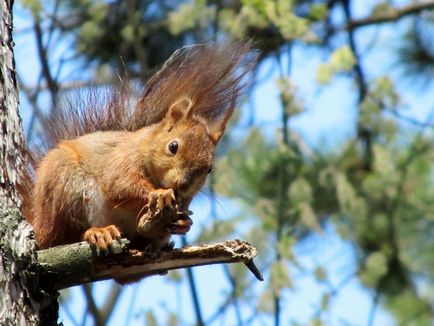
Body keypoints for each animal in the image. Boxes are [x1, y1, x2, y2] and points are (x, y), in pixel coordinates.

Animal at [22, 42, 254, 252]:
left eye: (209, 169)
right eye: (173, 146)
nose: (181, 185)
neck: (146, 144)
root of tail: (38, 225)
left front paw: (184, 223)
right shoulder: (123, 158)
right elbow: (119, 185)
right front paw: (158, 194)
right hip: (65, 186)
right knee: (62, 238)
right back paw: (98, 232)